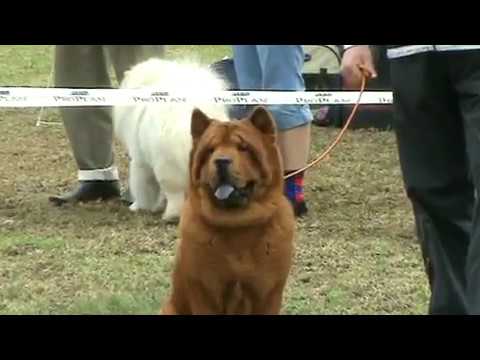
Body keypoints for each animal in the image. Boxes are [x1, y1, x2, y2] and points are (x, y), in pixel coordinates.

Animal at [114, 58, 231, 222]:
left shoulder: (140, 162)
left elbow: (142, 188)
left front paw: (137, 206)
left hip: (168, 170)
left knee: (175, 197)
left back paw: (171, 215)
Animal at [162, 105, 296, 314]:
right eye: (210, 150)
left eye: (244, 148)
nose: (221, 160)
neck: (238, 227)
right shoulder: (205, 292)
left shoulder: (268, 293)